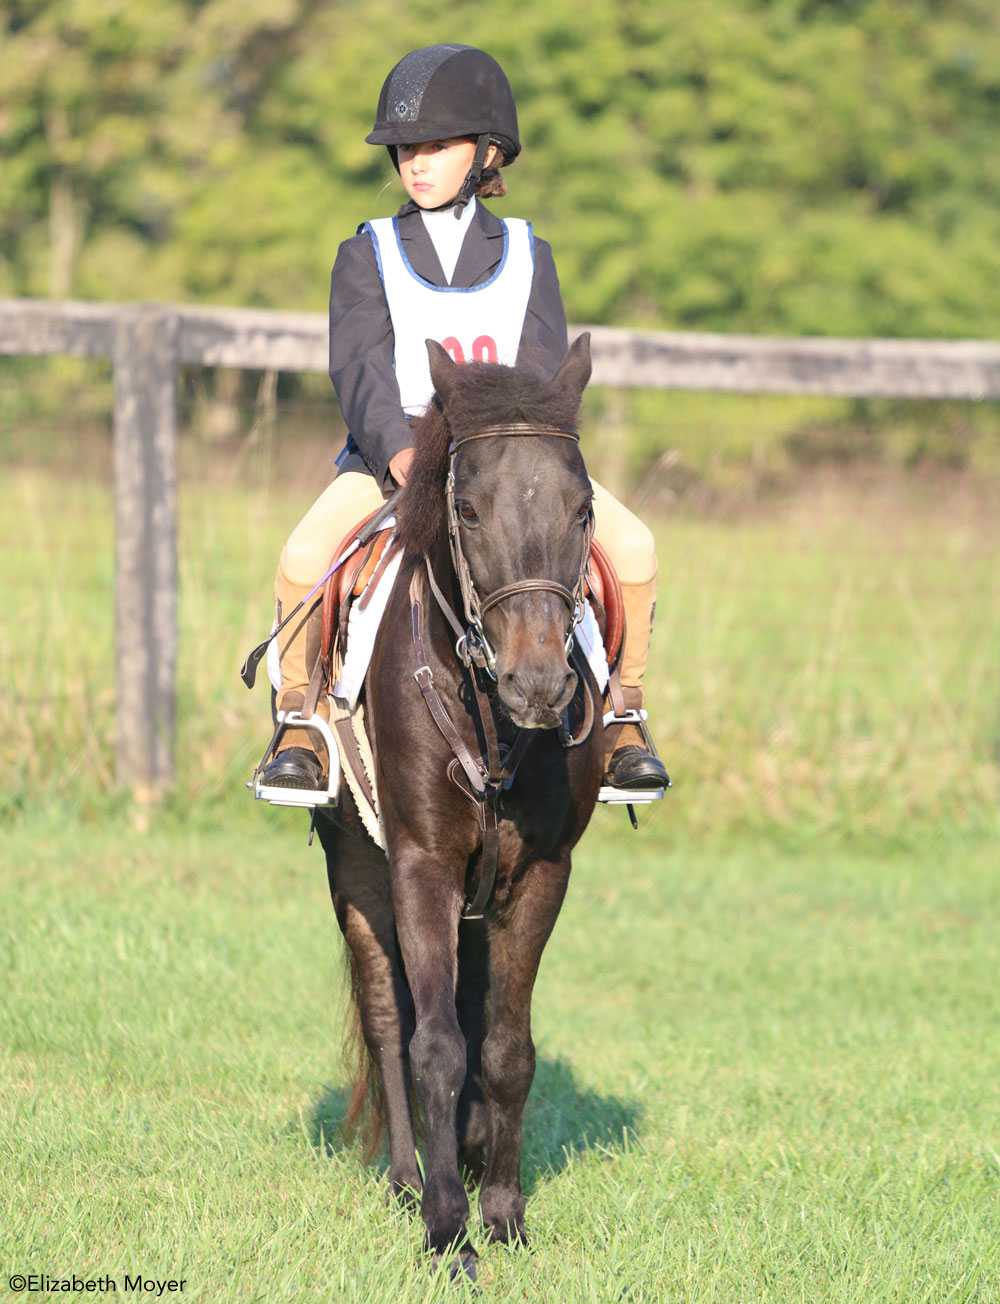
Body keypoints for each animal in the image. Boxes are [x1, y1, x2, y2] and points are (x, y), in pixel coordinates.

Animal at [316, 331, 602, 1277]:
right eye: (469, 511)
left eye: (583, 510)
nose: (539, 684)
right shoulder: (422, 867)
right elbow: (431, 1043)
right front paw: (448, 1232)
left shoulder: (539, 875)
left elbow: (507, 1049)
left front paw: (504, 1213)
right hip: (356, 874)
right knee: (386, 1013)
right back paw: (411, 1179)